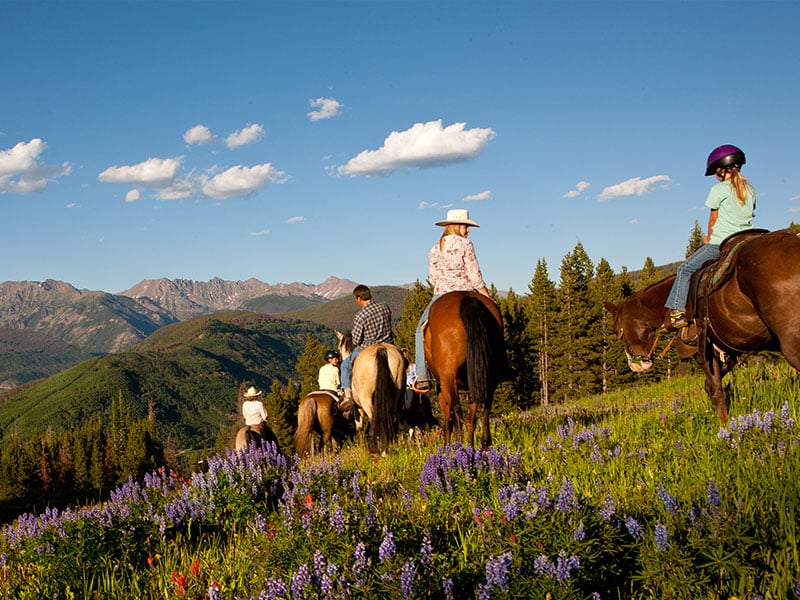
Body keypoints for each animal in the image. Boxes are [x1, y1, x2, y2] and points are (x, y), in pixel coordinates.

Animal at [424, 288, 506, 448]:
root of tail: (466, 299)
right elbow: (471, 419)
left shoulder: (441, 389)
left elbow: (447, 421)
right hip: (487, 376)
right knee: (482, 409)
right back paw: (482, 447)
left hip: (448, 378)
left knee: (457, 412)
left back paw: (459, 448)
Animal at [604, 229, 800, 422]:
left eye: (616, 331)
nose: (636, 365)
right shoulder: (724, 351)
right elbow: (714, 383)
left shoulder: (704, 352)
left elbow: (715, 391)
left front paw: (725, 427)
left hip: (790, 343)